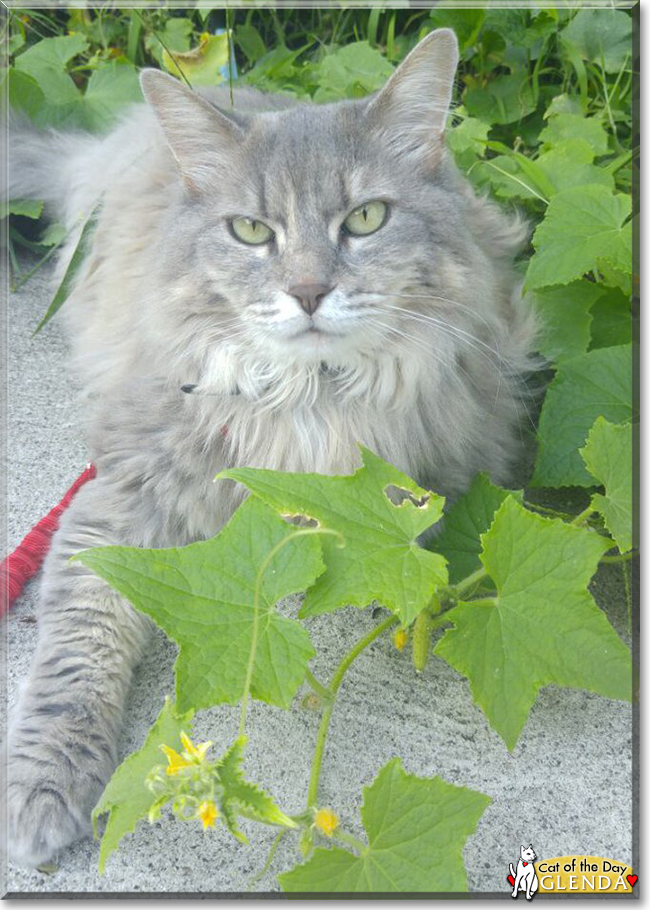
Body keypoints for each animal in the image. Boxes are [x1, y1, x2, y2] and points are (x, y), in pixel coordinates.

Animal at [2, 30, 536, 868]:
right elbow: (79, 649)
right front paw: (43, 784)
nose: (310, 292)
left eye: (366, 219)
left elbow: (406, 544)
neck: (310, 402)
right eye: (252, 232)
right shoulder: (118, 500)